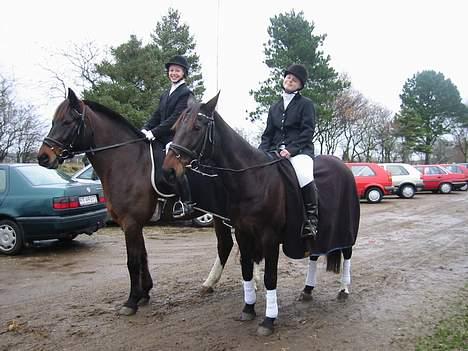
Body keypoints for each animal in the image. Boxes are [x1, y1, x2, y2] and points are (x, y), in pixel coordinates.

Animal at [37, 88, 236, 316]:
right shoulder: (132, 223)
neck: (126, 162)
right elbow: (142, 256)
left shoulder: (130, 222)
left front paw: (131, 301)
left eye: (68, 122)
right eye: (53, 121)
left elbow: (132, 261)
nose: (43, 157)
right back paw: (210, 284)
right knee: (226, 244)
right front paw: (145, 293)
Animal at [163, 93, 360, 336]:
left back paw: (343, 290)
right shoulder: (243, 233)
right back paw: (307, 291)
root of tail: (342, 165)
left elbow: (270, 276)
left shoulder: (269, 237)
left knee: (348, 254)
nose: (169, 171)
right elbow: (247, 270)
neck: (253, 179)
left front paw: (269, 319)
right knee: (314, 256)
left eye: (197, 127)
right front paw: (248, 308)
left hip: (346, 228)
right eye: (174, 127)